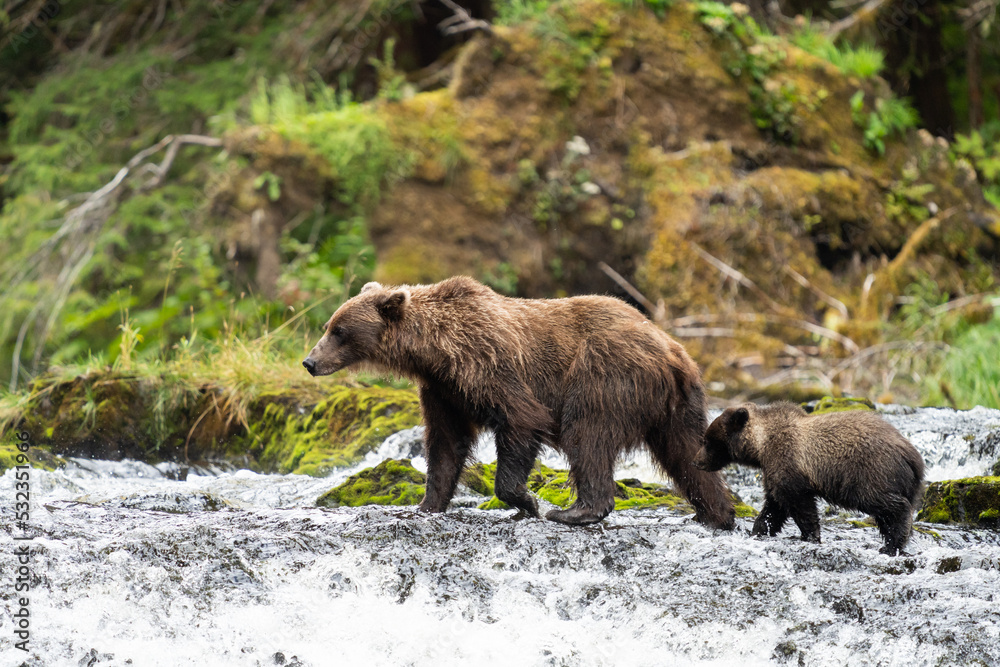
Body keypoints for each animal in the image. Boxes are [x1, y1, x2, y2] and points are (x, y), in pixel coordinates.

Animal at [303, 276, 735, 528]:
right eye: (328, 326)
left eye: (339, 331)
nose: (309, 361)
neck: (436, 352)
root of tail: (671, 348)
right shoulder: (444, 390)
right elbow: (445, 443)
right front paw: (425, 504)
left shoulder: (489, 367)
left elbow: (521, 421)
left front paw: (527, 501)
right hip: (677, 404)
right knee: (687, 453)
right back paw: (717, 513)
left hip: (605, 375)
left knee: (587, 435)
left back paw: (575, 511)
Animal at [692, 402, 925, 555]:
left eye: (707, 441)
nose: (696, 461)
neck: (762, 445)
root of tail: (913, 457)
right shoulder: (774, 470)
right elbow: (773, 506)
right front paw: (758, 530)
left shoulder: (788, 463)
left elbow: (798, 503)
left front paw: (809, 535)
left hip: (870, 472)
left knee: (886, 503)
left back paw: (892, 544)